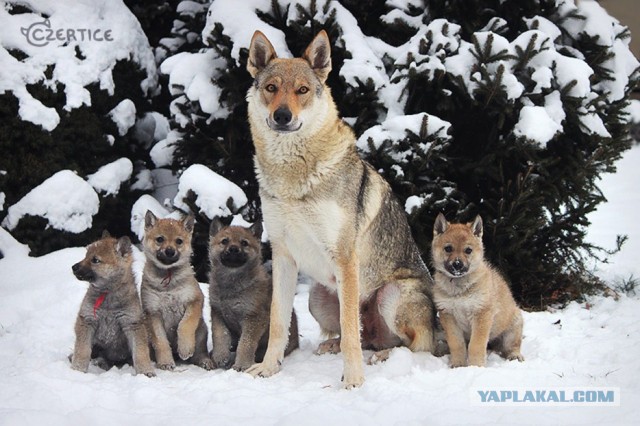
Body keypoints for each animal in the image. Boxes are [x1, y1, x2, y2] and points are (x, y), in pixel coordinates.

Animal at [140, 212, 212, 370]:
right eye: (160, 239)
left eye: (179, 241)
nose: (170, 251)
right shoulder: (153, 312)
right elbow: (161, 342)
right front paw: (165, 362)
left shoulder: (194, 299)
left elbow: (185, 325)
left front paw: (185, 348)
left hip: (201, 331)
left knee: (199, 352)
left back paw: (205, 361)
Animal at [210, 221, 300, 372]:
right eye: (224, 241)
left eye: (244, 243)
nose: (233, 249)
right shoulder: (218, 314)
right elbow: (220, 336)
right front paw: (220, 356)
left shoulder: (253, 318)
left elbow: (246, 344)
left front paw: (242, 365)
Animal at [430, 215, 524, 368]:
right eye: (448, 248)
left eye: (468, 250)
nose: (457, 264)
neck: (460, 288)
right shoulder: (448, 316)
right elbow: (456, 344)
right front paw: (458, 364)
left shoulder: (481, 314)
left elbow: (476, 345)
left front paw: (476, 366)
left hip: (513, 328)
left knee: (512, 345)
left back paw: (515, 355)